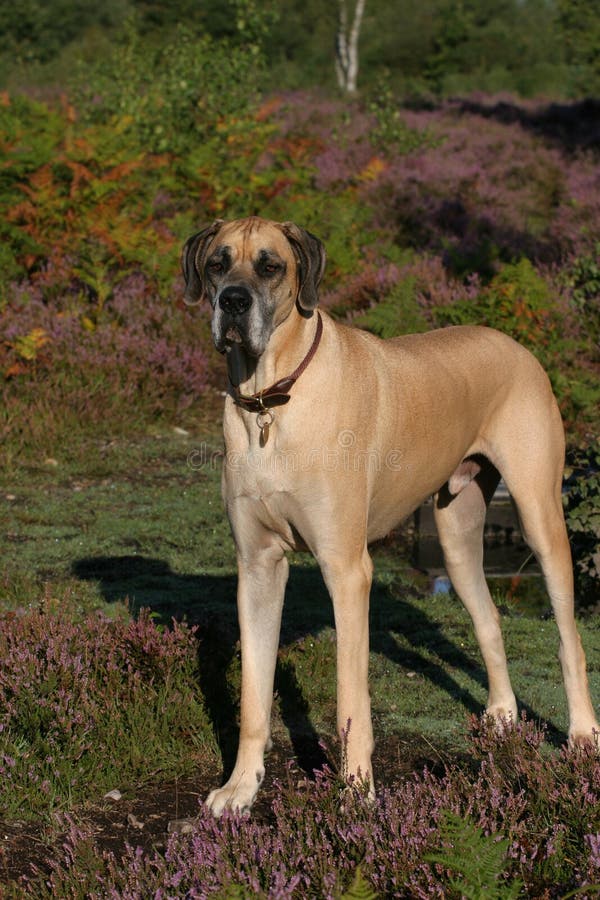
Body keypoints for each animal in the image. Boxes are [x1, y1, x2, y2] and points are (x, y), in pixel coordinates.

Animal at [183, 214, 600, 812]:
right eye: (218, 263)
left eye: (270, 266)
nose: (233, 302)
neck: (271, 401)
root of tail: (515, 344)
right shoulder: (258, 569)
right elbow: (254, 696)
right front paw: (240, 787)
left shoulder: (347, 570)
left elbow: (350, 701)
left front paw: (356, 794)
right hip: (456, 534)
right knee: (488, 617)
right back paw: (501, 714)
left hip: (540, 516)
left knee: (569, 637)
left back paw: (583, 733)